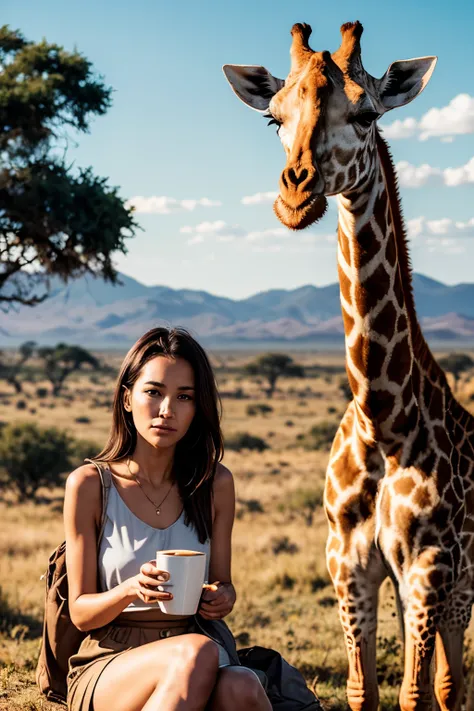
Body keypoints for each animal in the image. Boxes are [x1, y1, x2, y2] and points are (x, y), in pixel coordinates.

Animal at [224, 19, 474, 708]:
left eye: (364, 113)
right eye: (274, 117)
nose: (295, 193)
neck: (381, 417)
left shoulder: (429, 566)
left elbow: (415, 694)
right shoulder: (350, 565)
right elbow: (364, 691)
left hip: (463, 580)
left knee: (450, 683)